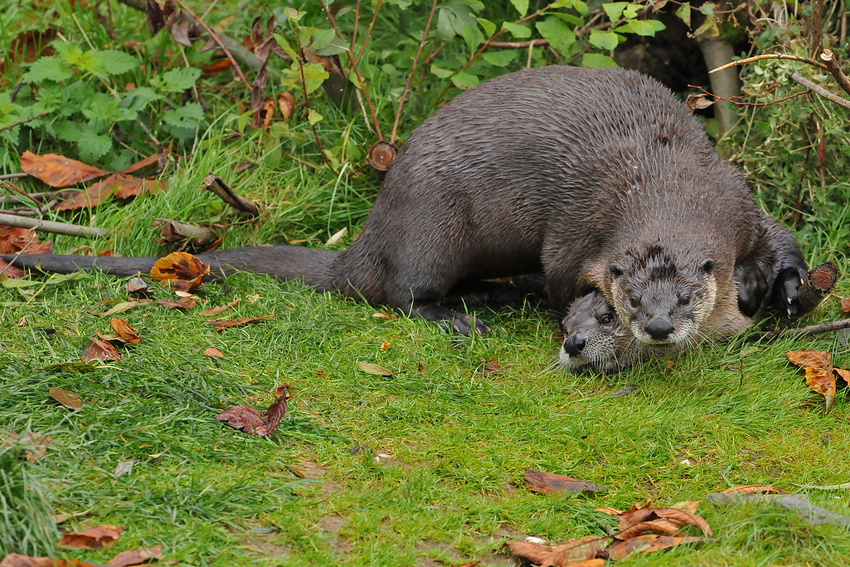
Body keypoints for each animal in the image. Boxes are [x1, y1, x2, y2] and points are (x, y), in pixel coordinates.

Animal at [1, 66, 808, 342]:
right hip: (434, 224)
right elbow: (560, 276)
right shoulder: (579, 232)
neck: (662, 176)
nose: (661, 327)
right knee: (400, 293)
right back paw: (461, 314)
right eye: (632, 298)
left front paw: (786, 287)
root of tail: (369, 240)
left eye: (685, 295)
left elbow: (779, 239)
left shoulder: (732, 193)